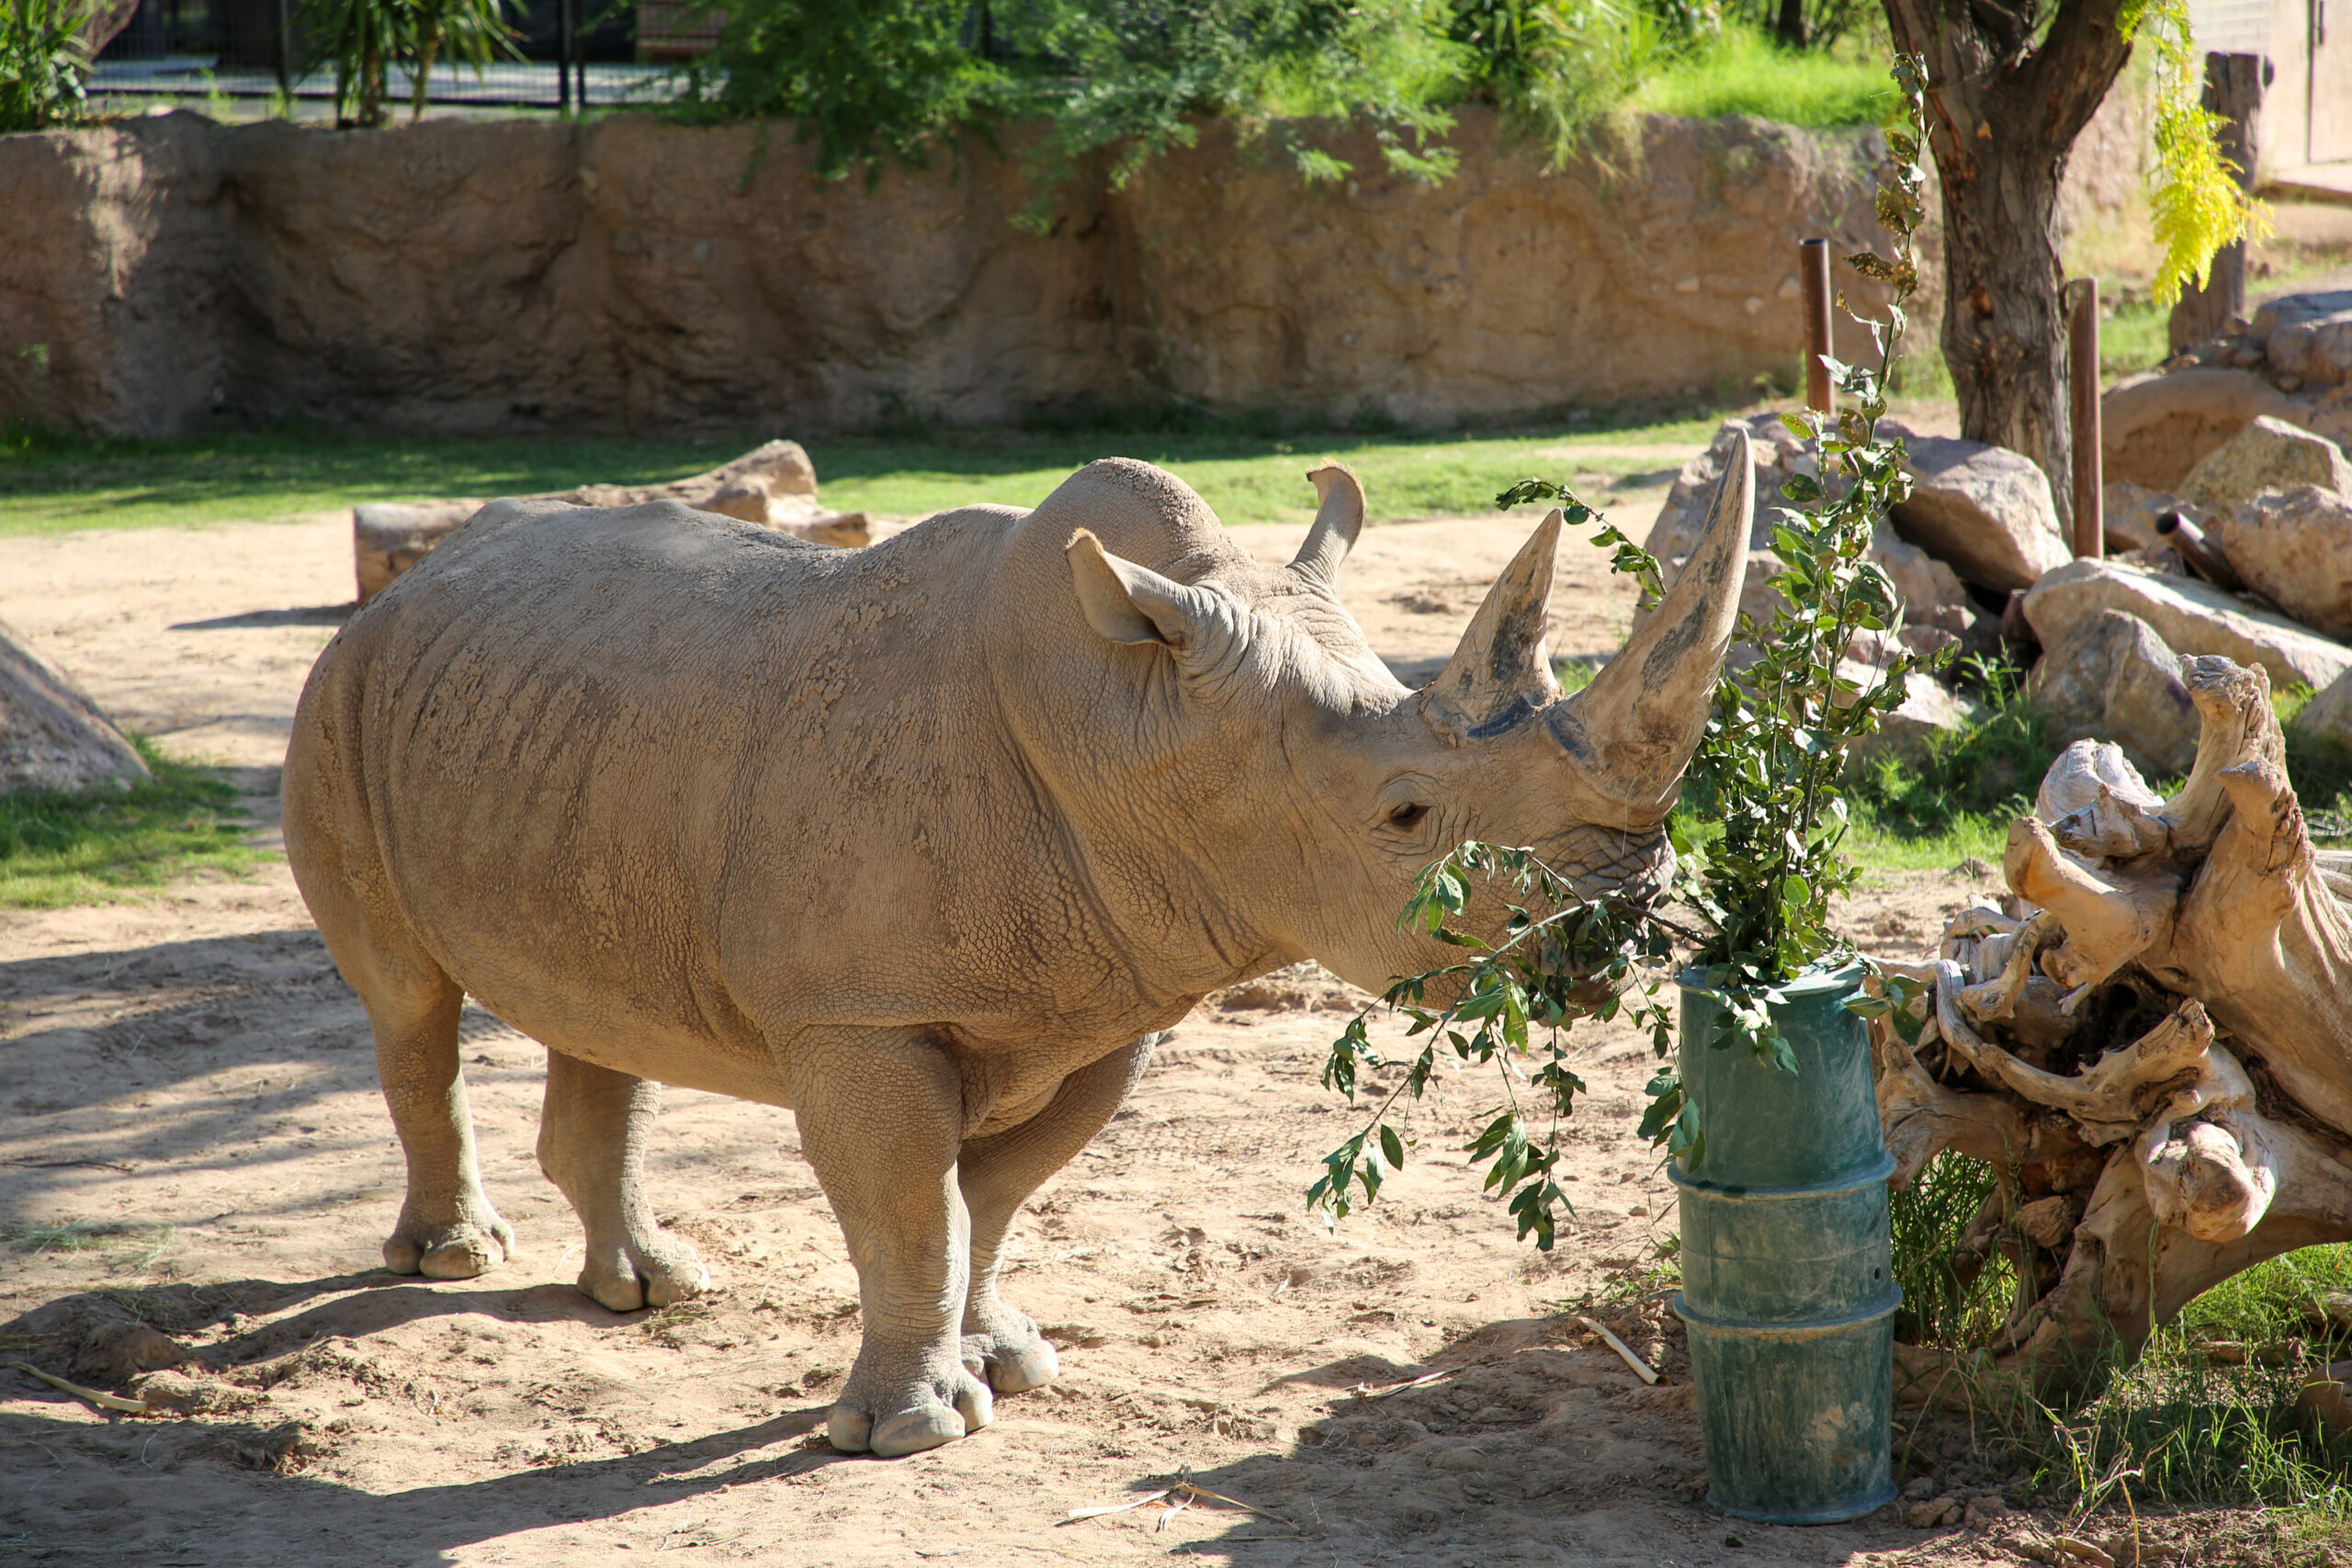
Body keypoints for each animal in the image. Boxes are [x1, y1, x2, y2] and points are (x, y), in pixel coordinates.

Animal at [282, 439, 1751, 1458]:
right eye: (1402, 817)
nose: (1629, 913)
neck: (1130, 717)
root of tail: (418, 586)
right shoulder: (859, 1010)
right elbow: (907, 1207)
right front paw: (908, 1431)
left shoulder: (1107, 996)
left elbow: (990, 1200)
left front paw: (1011, 1362)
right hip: (346, 697)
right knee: (409, 1004)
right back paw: (457, 1259)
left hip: (554, 729)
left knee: (600, 1004)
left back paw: (651, 1289)